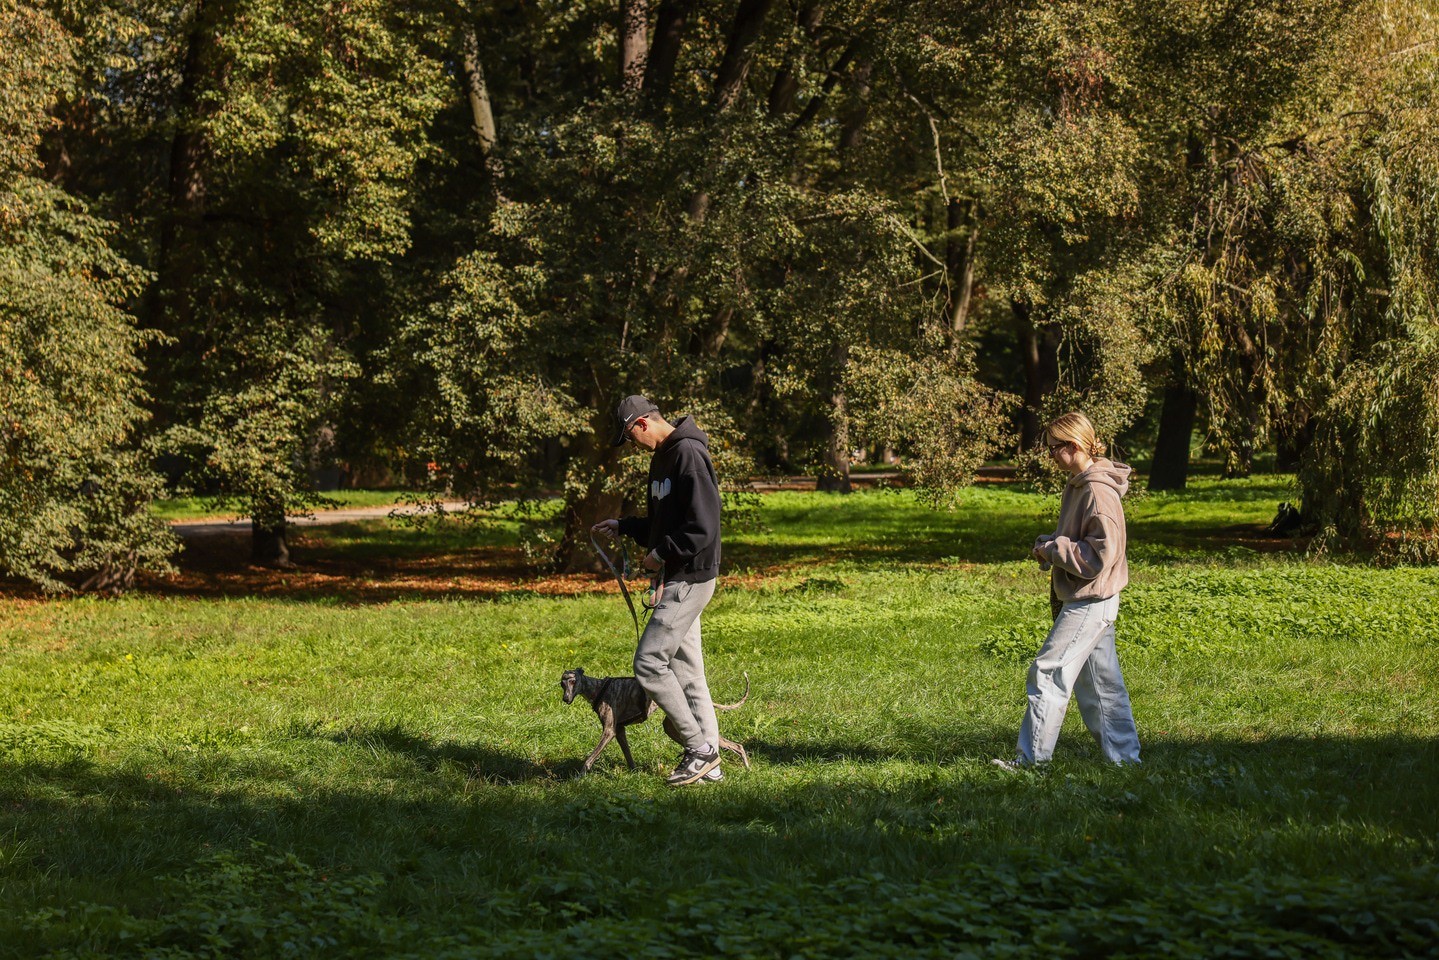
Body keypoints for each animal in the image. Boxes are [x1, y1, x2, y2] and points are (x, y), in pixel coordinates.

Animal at [560, 667, 751, 774]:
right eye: (562, 684)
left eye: (573, 681)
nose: (566, 699)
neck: (599, 689)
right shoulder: (620, 731)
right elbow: (628, 755)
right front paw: (634, 773)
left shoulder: (609, 731)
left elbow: (589, 759)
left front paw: (579, 777)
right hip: (671, 727)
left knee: (737, 746)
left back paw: (747, 769)